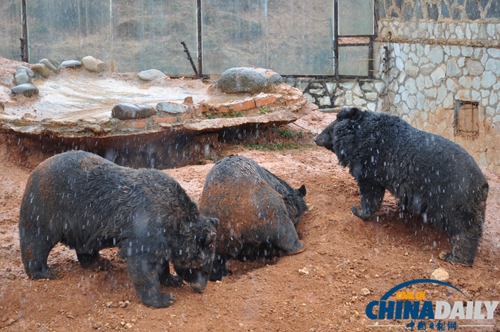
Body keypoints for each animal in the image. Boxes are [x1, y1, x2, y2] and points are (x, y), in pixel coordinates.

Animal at [18, 150, 218, 308]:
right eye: (204, 268)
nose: (201, 288)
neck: (172, 223)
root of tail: (35, 171)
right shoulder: (145, 224)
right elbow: (142, 263)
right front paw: (163, 298)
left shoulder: (162, 238)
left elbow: (159, 260)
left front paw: (172, 280)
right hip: (47, 207)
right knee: (37, 240)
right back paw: (44, 271)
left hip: (83, 223)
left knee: (85, 245)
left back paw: (99, 262)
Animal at [316, 107, 488, 266]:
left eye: (328, 131)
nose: (316, 138)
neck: (360, 136)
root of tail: (483, 185)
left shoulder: (372, 163)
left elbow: (370, 193)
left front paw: (357, 210)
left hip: (450, 197)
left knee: (462, 228)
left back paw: (453, 257)